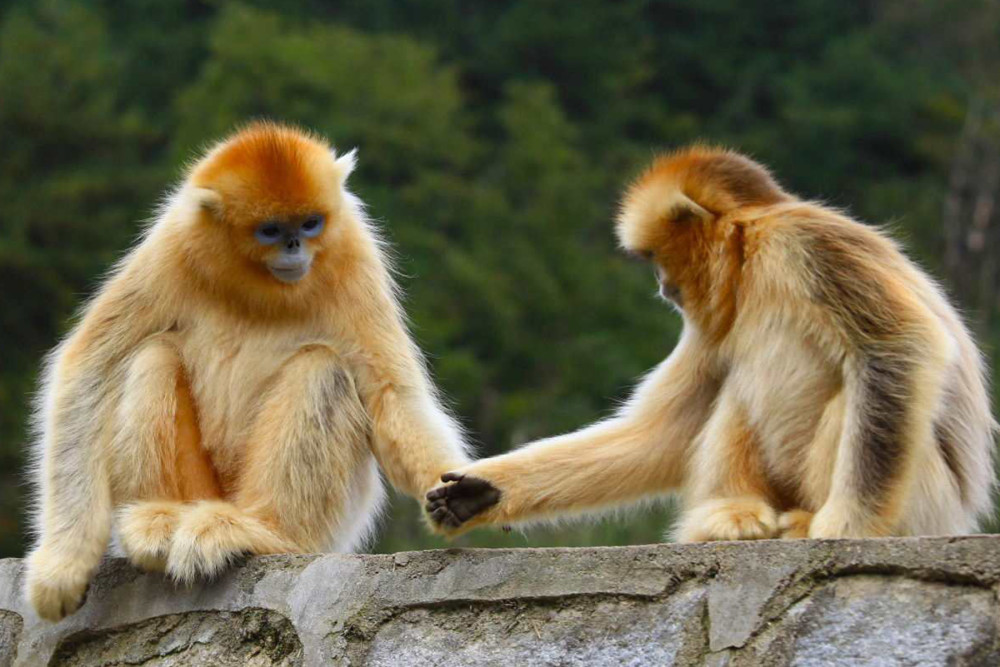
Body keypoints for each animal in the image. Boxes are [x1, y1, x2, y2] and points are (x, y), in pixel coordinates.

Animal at [25, 121, 470, 620]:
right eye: (271, 230)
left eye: (310, 224)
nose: (295, 246)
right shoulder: (173, 243)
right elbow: (87, 369)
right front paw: (64, 562)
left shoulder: (353, 250)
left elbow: (391, 394)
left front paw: (468, 493)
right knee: (153, 354)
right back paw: (159, 522)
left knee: (322, 367)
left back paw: (261, 532)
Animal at [426, 145, 996, 544]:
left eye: (656, 259)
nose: (661, 286)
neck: (754, 253)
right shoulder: (717, 313)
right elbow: (661, 434)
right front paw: (481, 493)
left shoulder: (803, 245)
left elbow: (899, 347)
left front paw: (847, 527)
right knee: (738, 392)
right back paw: (734, 514)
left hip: (924, 501)